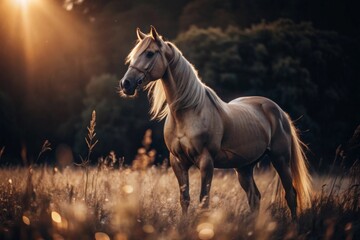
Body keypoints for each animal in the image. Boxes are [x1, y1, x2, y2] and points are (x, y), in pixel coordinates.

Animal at [119, 26, 310, 219]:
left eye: (149, 53)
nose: (126, 84)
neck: (188, 111)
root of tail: (279, 112)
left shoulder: (206, 162)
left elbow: (204, 201)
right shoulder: (178, 162)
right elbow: (185, 199)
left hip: (281, 160)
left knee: (290, 195)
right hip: (244, 168)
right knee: (254, 197)